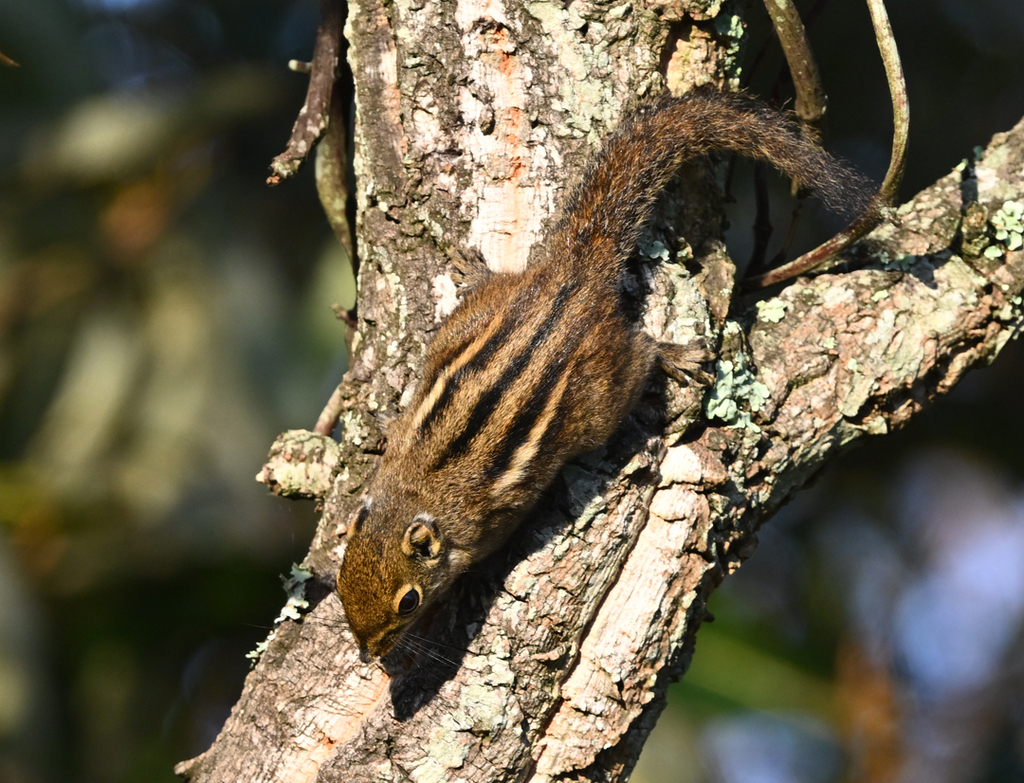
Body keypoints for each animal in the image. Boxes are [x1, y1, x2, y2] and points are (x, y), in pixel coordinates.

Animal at [336, 89, 866, 662]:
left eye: (408, 601)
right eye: (340, 581)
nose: (367, 653)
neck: (416, 493)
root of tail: (572, 280)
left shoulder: (490, 521)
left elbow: (492, 550)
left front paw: (473, 586)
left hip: (600, 394)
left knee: (640, 353)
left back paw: (670, 354)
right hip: (471, 321)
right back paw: (474, 271)